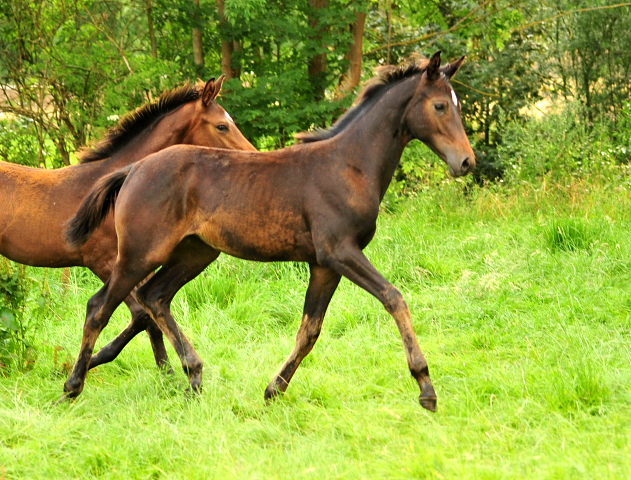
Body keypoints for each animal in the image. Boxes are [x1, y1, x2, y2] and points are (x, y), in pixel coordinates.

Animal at [68, 53, 474, 412]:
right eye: (440, 106)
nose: (466, 162)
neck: (349, 165)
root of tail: (133, 169)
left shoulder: (323, 265)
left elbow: (309, 330)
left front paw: (273, 390)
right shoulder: (340, 252)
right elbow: (394, 297)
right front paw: (425, 387)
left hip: (195, 253)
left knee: (154, 297)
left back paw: (193, 377)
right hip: (139, 255)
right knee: (100, 307)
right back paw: (72, 387)